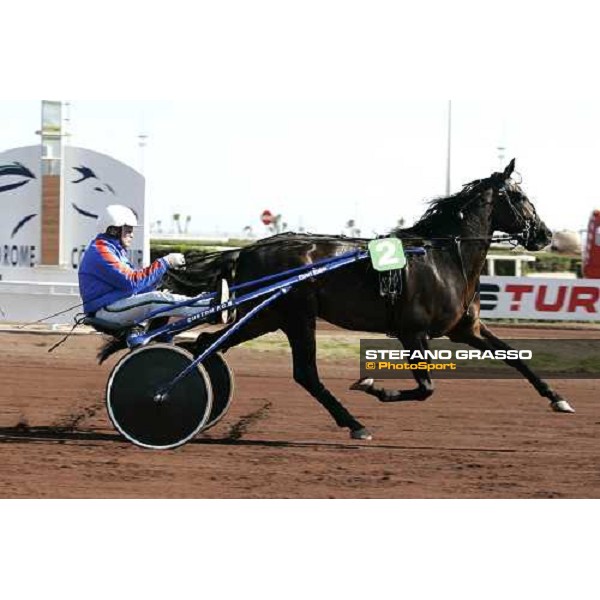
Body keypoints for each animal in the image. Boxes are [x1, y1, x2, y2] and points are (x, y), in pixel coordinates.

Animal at [104, 159, 576, 440]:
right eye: (519, 197)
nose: (545, 235)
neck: (444, 257)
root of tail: (251, 249)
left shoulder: (465, 328)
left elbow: (515, 357)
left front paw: (559, 398)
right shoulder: (413, 332)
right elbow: (425, 389)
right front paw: (371, 386)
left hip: (267, 316)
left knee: (205, 345)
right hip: (294, 316)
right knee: (303, 373)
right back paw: (353, 423)